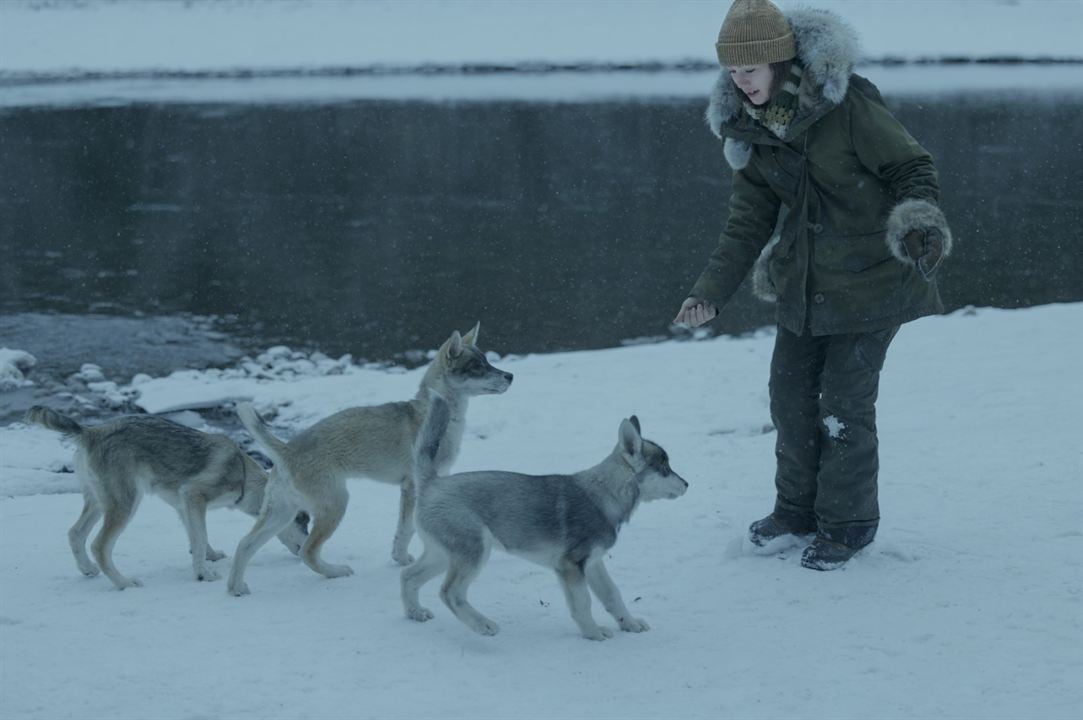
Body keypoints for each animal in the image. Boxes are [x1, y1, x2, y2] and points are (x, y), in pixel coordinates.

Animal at [23, 404, 309, 588]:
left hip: (99, 502)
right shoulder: (194, 496)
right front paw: (203, 574)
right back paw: (123, 582)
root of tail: (90, 431)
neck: (242, 475)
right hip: (126, 503)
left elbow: (198, 539)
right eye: (303, 522)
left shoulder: (184, 505)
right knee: (99, 545)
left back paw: (87, 569)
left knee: (75, 533)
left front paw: (209, 557)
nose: (306, 545)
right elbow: (200, 538)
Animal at [227, 324, 511, 593]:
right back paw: (336, 572)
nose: (511, 376)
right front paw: (401, 558)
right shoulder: (411, 487)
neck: (435, 414)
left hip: (280, 511)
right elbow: (406, 529)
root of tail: (287, 450)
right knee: (308, 551)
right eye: (477, 366)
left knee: (244, 544)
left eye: (487, 361)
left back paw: (236, 588)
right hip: (335, 504)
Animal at [402, 394, 688, 640]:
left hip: (443, 555)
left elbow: (612, 595)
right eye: (664, 468)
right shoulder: (570, 567)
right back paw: (483, 625)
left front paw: (629, 624)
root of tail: (431, 483)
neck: (605, 493)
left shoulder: (593, 563)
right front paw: (593, 633)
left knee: (408, 575)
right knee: (450, 593)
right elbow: (583, 603)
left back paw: (414, 613)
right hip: (474, 550)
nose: (687, 484)